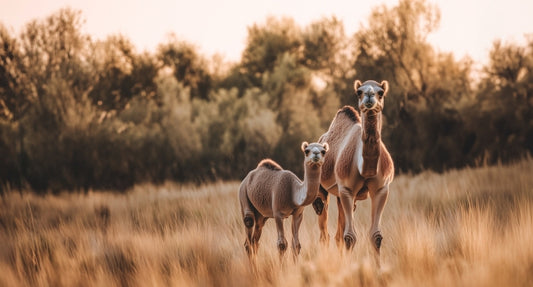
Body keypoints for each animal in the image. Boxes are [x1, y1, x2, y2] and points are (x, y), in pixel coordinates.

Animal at [310, 79, 392, 260]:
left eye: (381, 92)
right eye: (359, 92)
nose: (369, 95)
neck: (365, 168)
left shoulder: (381, 189)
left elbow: (376, 236)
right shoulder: (347, 189)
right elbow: (349, 237)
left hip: (343, 197)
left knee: (337, 235)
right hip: (324, 191)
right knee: (324, 231)